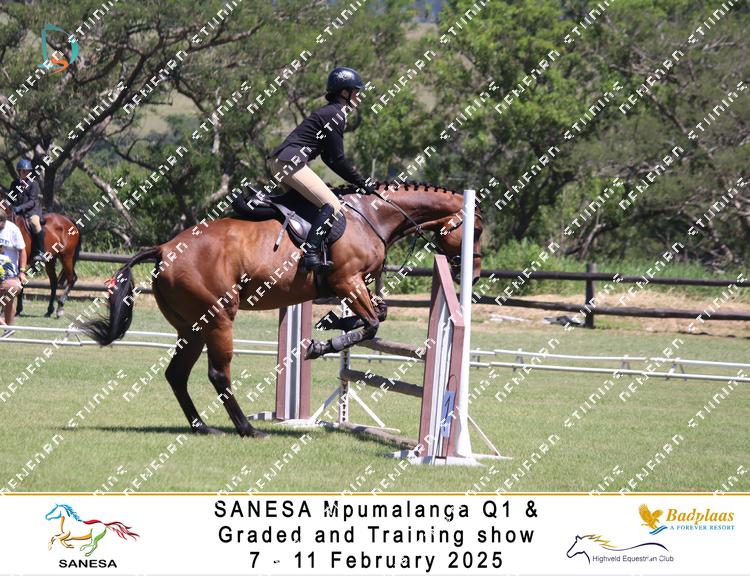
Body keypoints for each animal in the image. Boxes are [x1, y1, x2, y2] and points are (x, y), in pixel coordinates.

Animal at [79, 182, 483, 438]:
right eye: (476, 231)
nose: (475, 274)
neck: (373, 215)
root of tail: (164, 249)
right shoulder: (347, 281)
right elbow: (370, 325)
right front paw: (322, 345)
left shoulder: (357, 285)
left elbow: (376, 316)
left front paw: (332, 323)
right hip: (218, 318)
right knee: (218, 374)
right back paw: (247, 429)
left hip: (192, 327)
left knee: (177, 374)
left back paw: (203, 427)